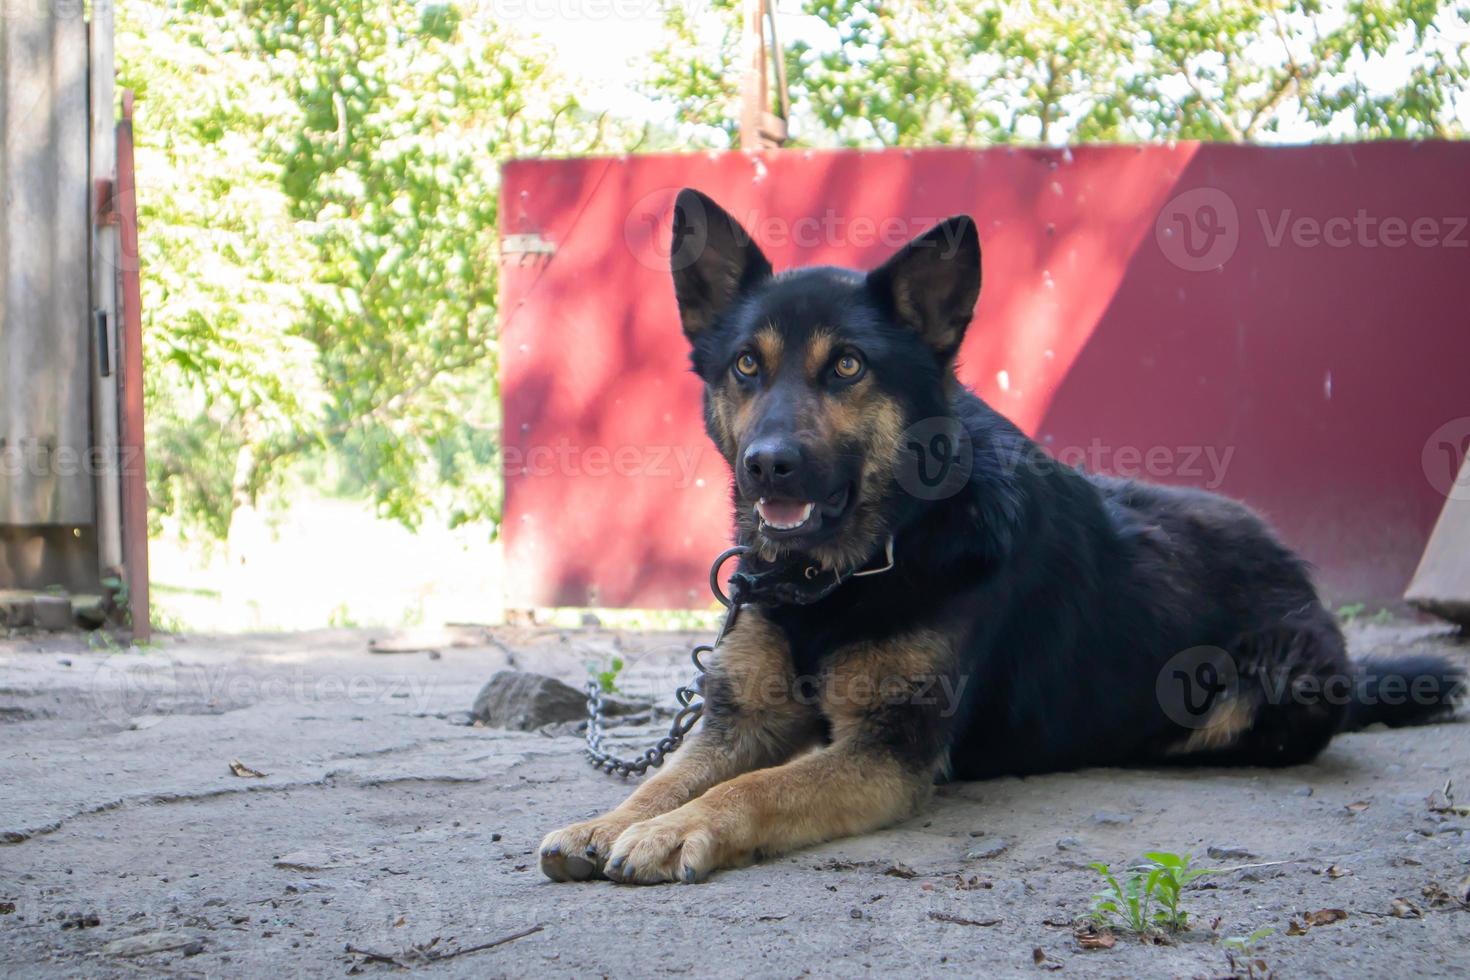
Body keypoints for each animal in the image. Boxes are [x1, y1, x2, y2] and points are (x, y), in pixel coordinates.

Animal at [538, 188, 1458, 887]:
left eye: (848, 367)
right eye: (745, 367)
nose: (769, 467)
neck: (848, 575)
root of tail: (1295, 567)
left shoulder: (885, 752)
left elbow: (755, 788)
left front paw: (672, 830)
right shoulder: (740, 722)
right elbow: (672, 775)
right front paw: (609, 820)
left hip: (1283, 681)